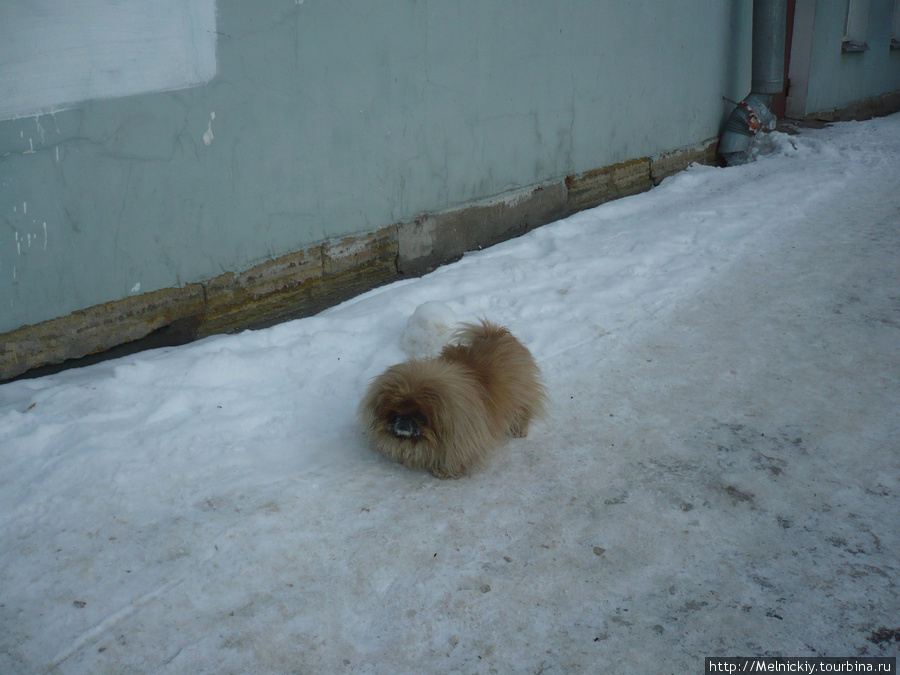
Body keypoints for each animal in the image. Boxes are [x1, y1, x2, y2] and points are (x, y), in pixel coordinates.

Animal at [360, 320, 548, 478]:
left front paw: (443, 471)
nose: (404, 420)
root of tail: (494, 333)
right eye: (393, 413)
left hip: (520, 394)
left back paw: (519, 429)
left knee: (523, 410)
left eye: (419, 415)